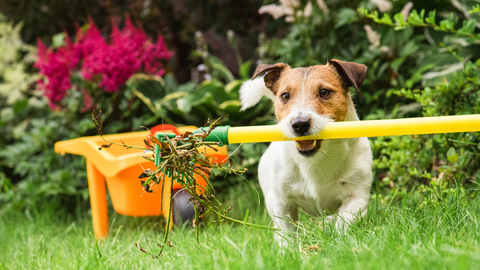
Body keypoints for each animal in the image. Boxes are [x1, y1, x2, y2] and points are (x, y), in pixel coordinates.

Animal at [242, 60, 374, 246]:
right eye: (285, 96)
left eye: (324, 92)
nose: (299, 124)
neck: (316, 161)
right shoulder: (282, 203)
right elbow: (288, 233)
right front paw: (288, 250)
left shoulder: (357, 197)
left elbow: (342, 223)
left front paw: (338, 242)